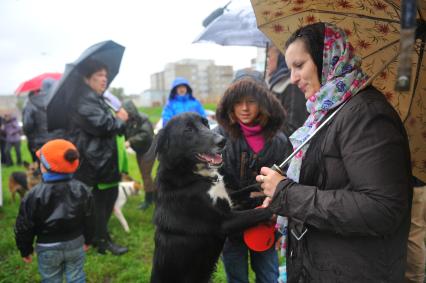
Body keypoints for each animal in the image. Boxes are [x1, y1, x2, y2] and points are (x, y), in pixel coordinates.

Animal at [148, 113, 272, 283]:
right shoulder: (225, 222)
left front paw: (266, 186)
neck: (194, 176)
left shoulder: (229, 200)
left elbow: (249, 189)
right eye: (188, 130)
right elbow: (261, 211)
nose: (223, 141)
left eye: (206, 123)